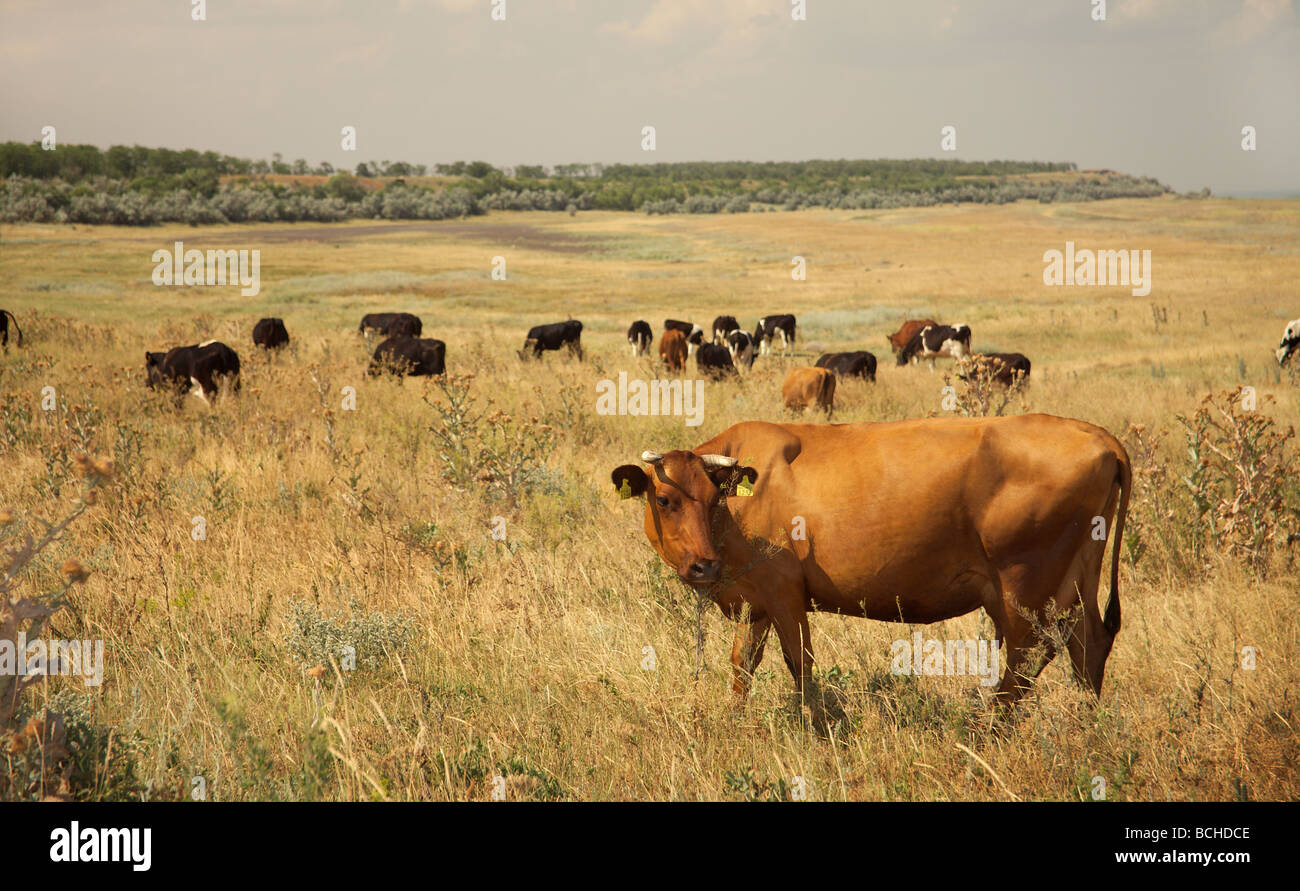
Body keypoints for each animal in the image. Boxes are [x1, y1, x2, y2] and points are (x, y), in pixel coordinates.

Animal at [608, 414, 1131, 716]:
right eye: (664, 499)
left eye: (715, 497)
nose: (704, 566)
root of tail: (1102, 437)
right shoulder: (754, 600)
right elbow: (743, 664)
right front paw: (736, 721)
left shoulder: (784, 591)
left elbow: (800, 664)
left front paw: (813, 726)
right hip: (1075, 581)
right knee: (1088, 648)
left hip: (1023, 588)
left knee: (1027, 658)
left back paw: (986, 732)